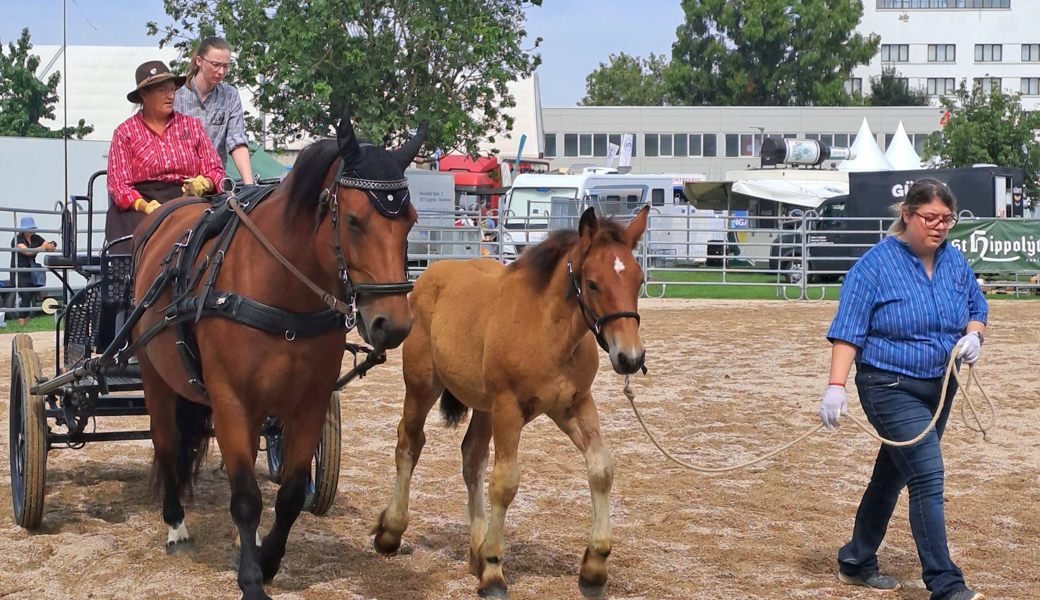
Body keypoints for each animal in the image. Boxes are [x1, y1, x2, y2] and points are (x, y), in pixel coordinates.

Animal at [133, 112, 422, 598]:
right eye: (355, 220)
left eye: (411, 222)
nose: (393, 324)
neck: (280, 293)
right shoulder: (232, 402)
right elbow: (247, 499)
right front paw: (251, 580)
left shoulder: (309, 405)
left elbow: (287, 496)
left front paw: (266, 560)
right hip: (156, 378)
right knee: (167, 445)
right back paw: (176, 527)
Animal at [374, 204, 644, 594]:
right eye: (593, 283)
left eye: (639, 280)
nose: (631, 358)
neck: (548, 331)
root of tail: (429, 274)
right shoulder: (509, 408)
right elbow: (505, 483)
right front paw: (493, 570)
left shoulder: (575, 404)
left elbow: (601, 469)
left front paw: (595, 566)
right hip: (423, 386)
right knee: (409, 443)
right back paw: (392, 532)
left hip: (484, 406)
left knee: (472, 457)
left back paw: (476, 548)